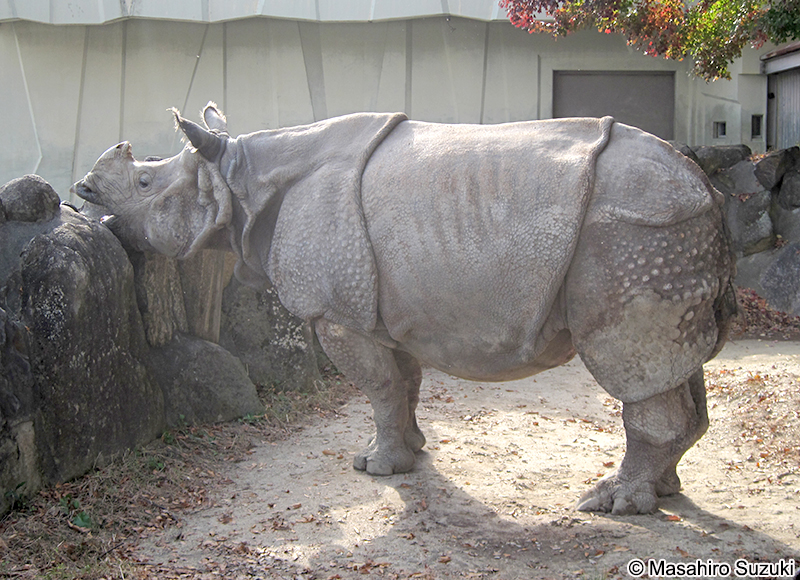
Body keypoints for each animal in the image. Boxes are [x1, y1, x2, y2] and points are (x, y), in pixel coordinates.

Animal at [72, 103, 735, 515]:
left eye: (145, 185)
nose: (82, 192)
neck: (241, 179)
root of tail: (707, 184)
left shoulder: (336, 311)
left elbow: (378, 386)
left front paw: (374, 468)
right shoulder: (387, 305)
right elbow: (404, 381)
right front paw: (412, 451)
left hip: (634, 232)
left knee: (628, 358)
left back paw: (612, 504)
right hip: (665, 231)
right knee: (674, 363)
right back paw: (664, 492)